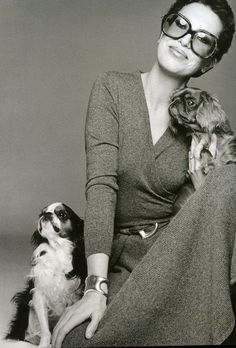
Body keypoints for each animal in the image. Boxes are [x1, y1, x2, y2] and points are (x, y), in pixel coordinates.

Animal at [5, 203, 86, 346]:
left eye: (62, 214)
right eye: (41, 213)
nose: (46, 214)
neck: (58, 250)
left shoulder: (74, 296)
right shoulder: (39, 294)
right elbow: (45, 330)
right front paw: (44, 344)